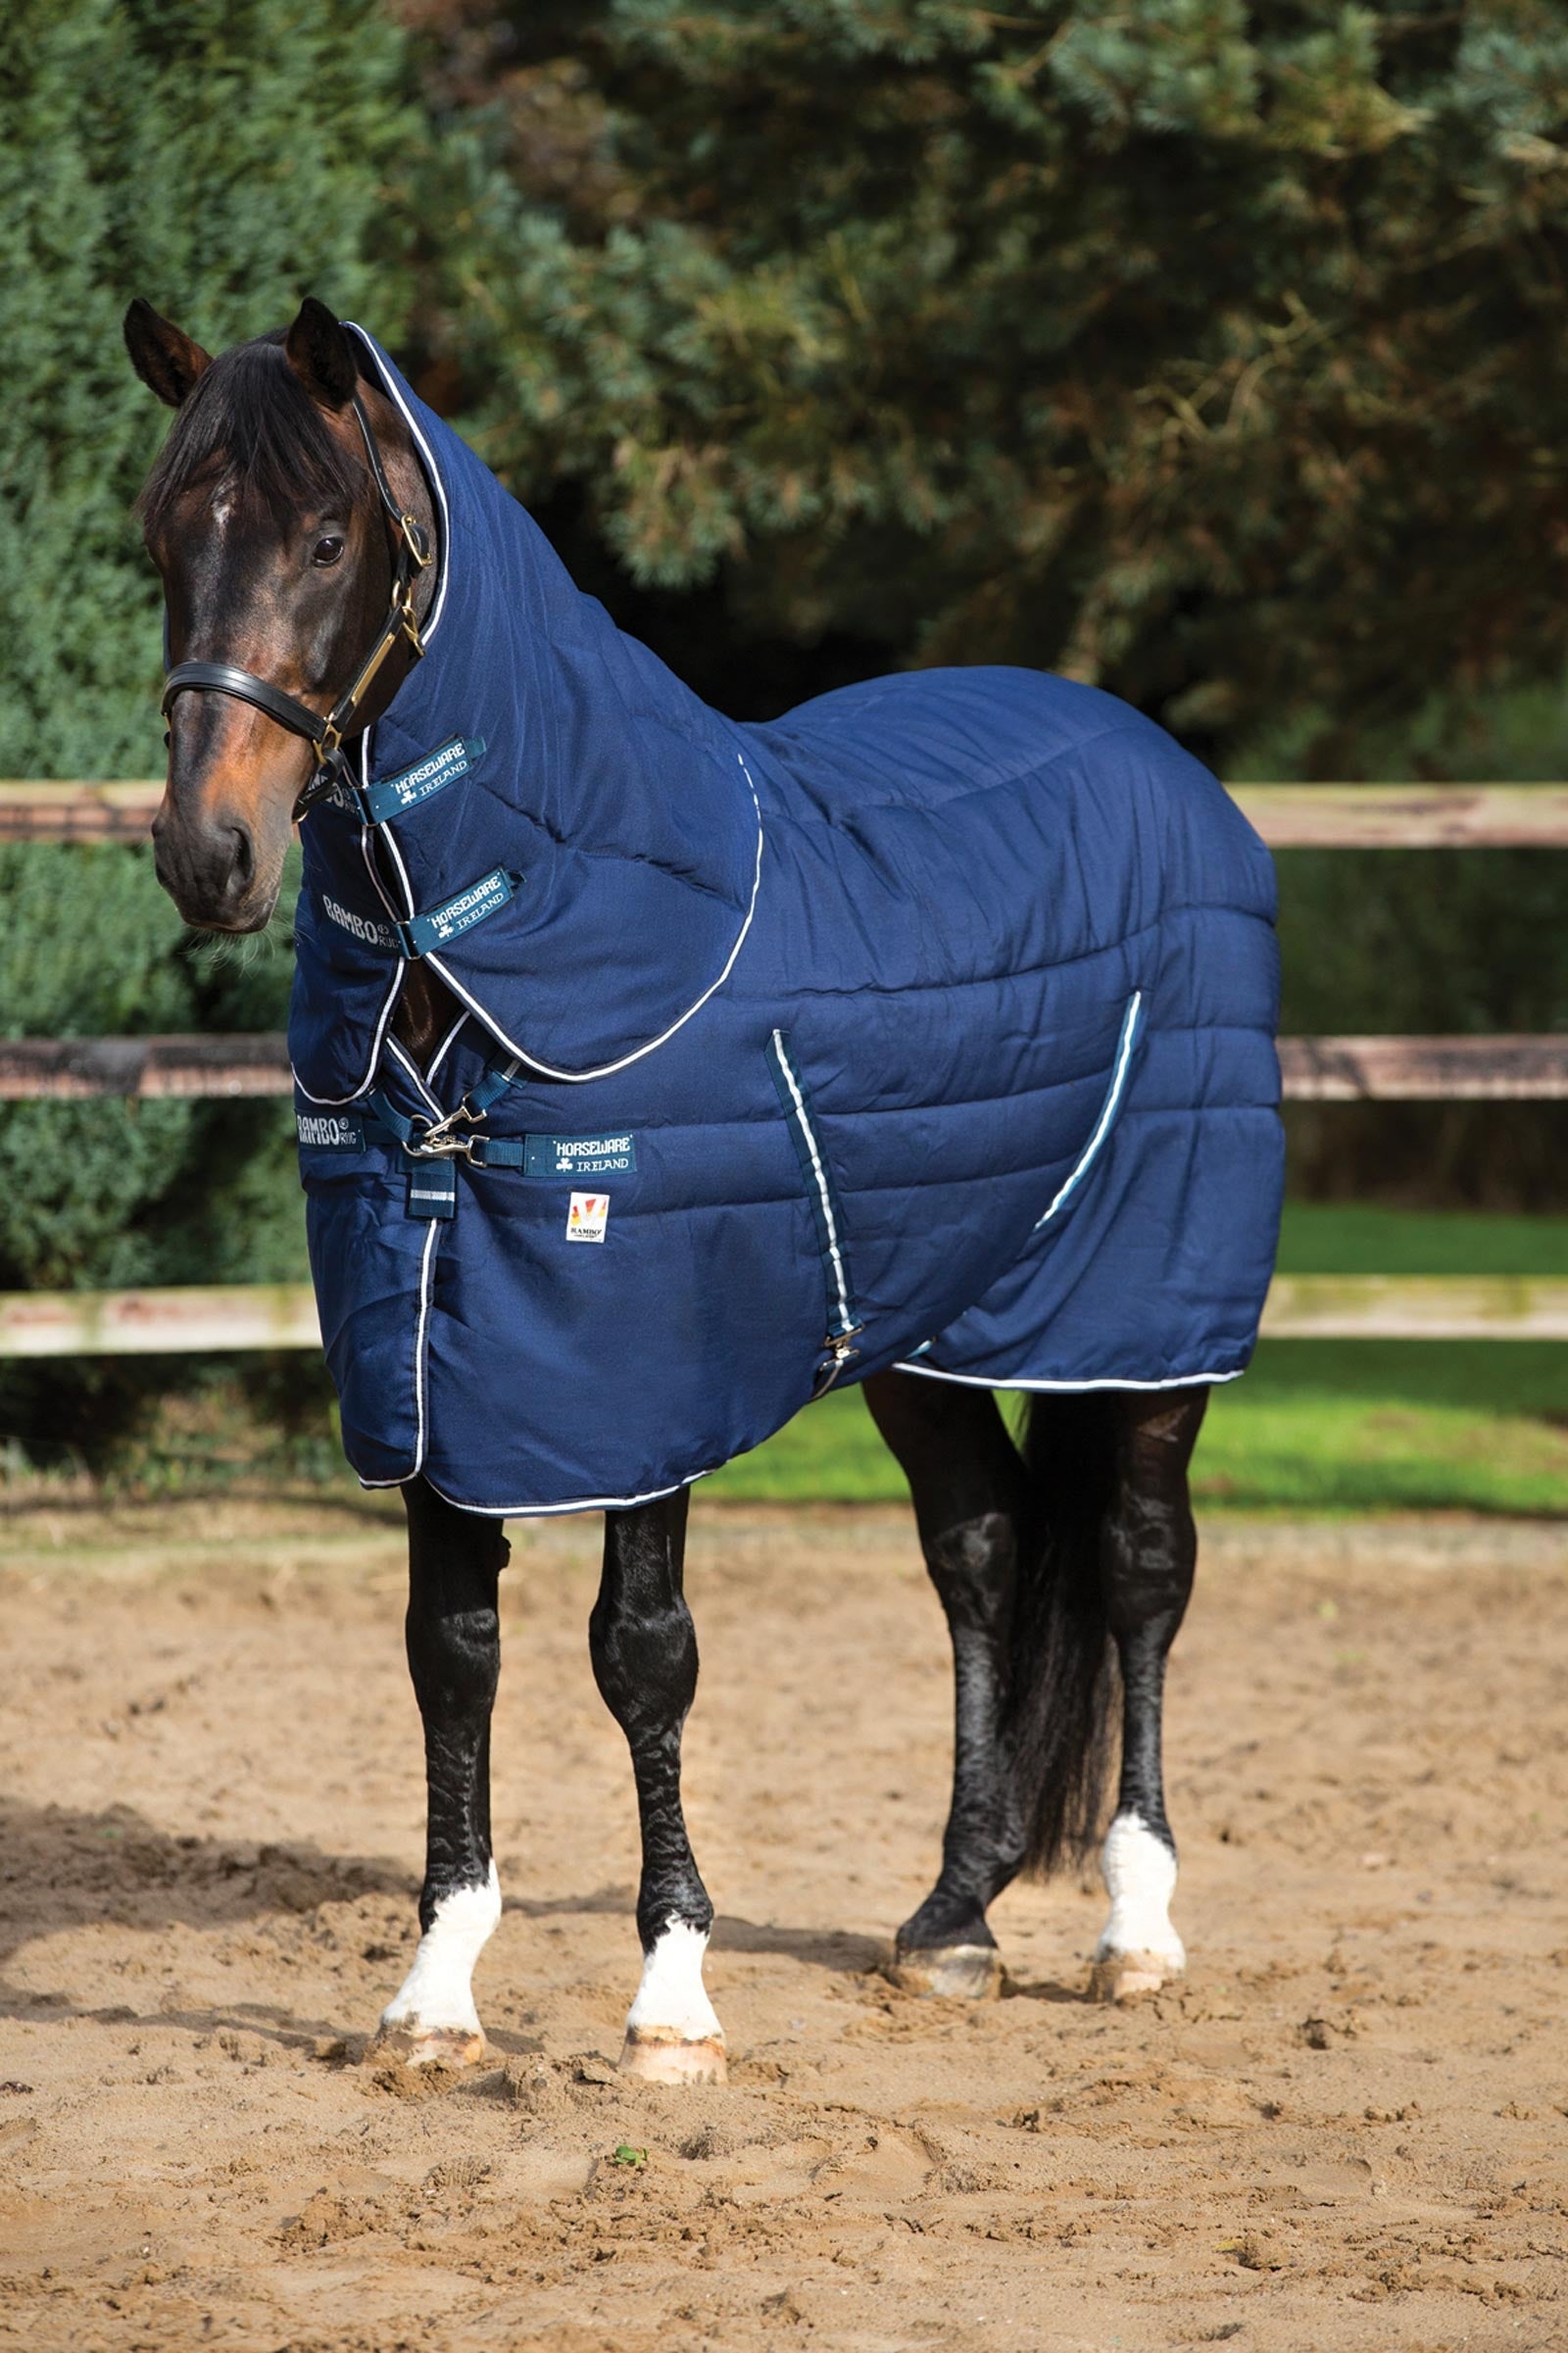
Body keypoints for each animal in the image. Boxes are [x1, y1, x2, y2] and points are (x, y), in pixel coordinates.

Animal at [123, 294, 1281, 2082]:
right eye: (161, 534)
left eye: (324, 536)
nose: (209, 852)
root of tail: (1171, 769)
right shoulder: (426, 1360)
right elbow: (451, 1657)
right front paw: (435, 1995)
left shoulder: (635, 1370)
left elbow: (641, 1658)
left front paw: (671, 1997)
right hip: (924, 1330)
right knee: (985, 1555)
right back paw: (953, 1920)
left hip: (1147, 1321)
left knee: (1145, 1568)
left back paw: (1135, 1931)